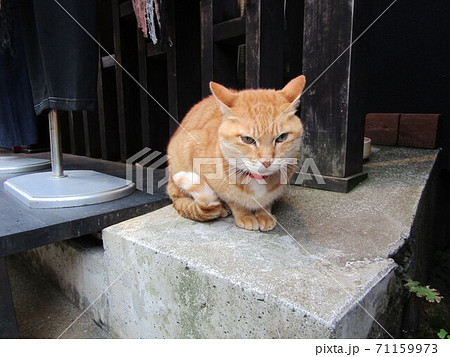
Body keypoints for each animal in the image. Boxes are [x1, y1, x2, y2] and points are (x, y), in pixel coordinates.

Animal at [167, 75, 308, 231]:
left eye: (282, 137)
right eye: (247, 139)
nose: (266, 162)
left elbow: (265, 204)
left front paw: (264, 214)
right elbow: (234, 201)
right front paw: (244, 215)